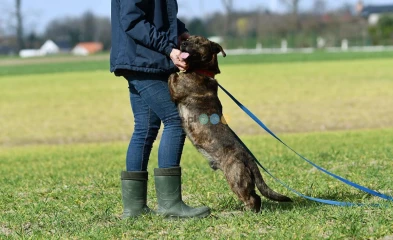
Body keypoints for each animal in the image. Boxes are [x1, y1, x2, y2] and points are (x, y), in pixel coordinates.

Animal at [168, 35, 290, 212]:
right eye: (188, 38)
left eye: (198, 42)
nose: (182, 43)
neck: (202, 70)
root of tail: (248, 159)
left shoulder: (176, 87)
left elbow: (173, 74)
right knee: (256, 197)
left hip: (235, 177)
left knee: (252, 198)